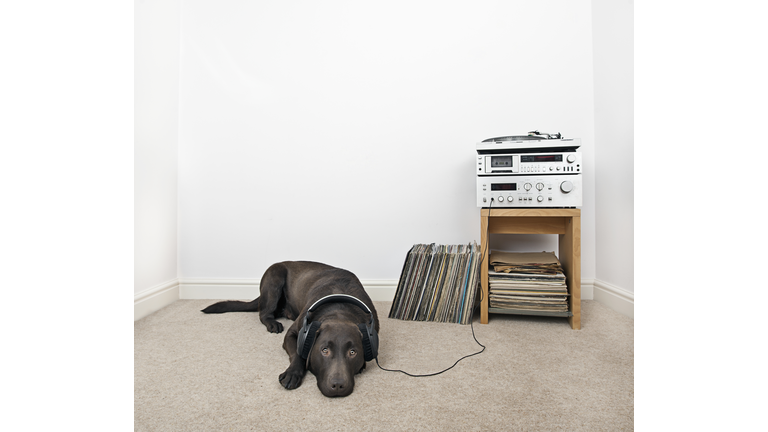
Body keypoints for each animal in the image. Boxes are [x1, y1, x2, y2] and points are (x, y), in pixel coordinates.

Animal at [201, 260, 378, 398]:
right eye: (324, 350)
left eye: (353, 352)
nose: (338, 385)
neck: (340, 308)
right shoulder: (293, 334)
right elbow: (298, 354)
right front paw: (292, 374)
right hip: (274, 278)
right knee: (263, 313)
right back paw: (272, 323)